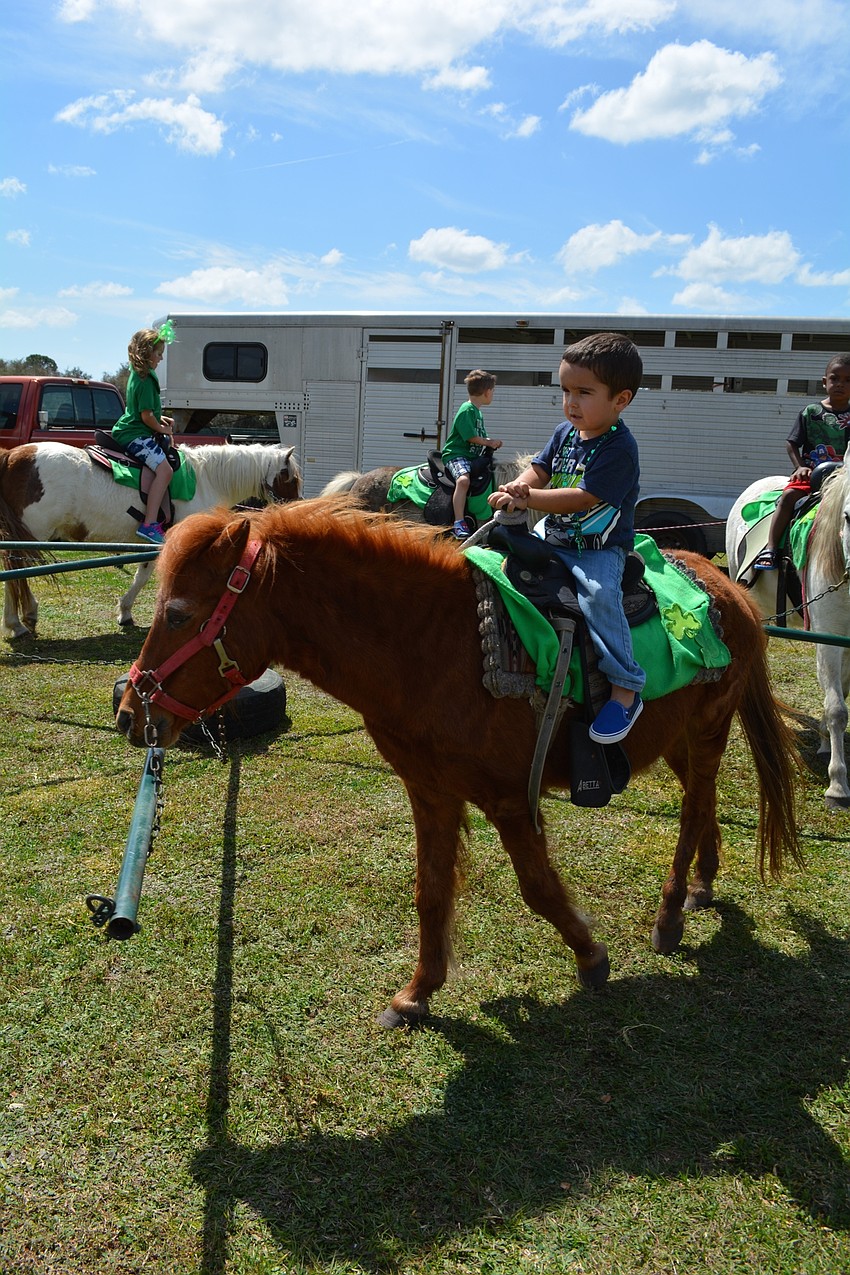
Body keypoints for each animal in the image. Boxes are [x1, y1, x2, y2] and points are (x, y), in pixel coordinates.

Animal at [0, 440, 301, 637]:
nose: (296, 508)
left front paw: (125, 612)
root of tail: (13, 454)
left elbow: (141, 576)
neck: (207, 479)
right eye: (290, 478)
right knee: (16, 573)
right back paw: (20, 621)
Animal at [116, 497, 802, 1025]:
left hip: (708, 731)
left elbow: (538, 889)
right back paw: (702, 887)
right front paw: (417, 993)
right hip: (673, 740)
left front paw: (590, 956)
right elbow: (431, 891)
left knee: (693, 809)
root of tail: (729, 590)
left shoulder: (508, 798)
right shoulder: (430, 791)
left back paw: (670, 911)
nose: (128, 712)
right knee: (700, 803)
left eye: (177, 613)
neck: (432, 643)